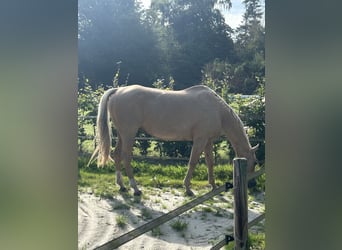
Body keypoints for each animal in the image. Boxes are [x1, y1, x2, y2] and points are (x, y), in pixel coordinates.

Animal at [89, 85, 258, 196]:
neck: (217, 110)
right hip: (129, 133)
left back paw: (122, 186)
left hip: (122, 134)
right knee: (126, 157)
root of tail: (118, 91)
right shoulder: (200, 140)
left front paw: (213, 185)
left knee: (117, 155)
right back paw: (135, 188)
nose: (252, 184)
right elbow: (193, 162)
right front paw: (188, 188)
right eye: (255, 162)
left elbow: (210, 162)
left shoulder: (208, 141)